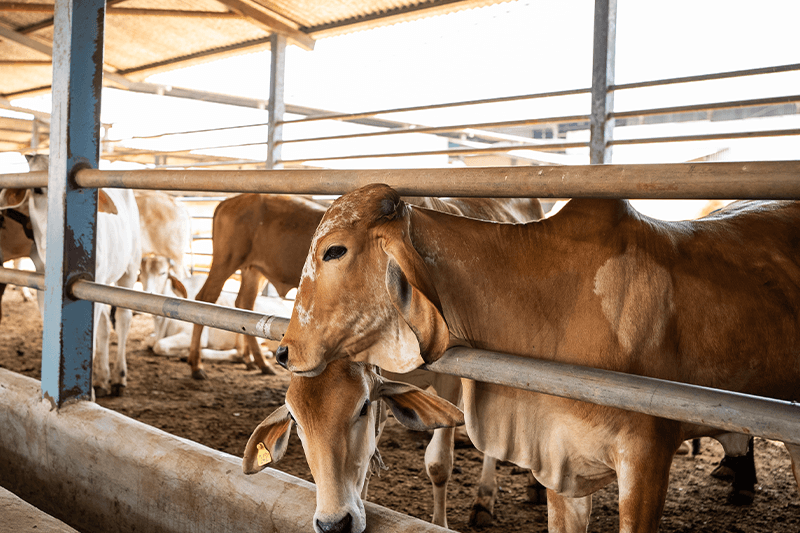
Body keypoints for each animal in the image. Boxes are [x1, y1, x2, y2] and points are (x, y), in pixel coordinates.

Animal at [2, 154, 142, 397]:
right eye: (36, 189)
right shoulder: (44, 288)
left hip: (130, 269)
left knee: (123, 318)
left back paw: (119, 377)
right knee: (104, 326)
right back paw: (102, 378)